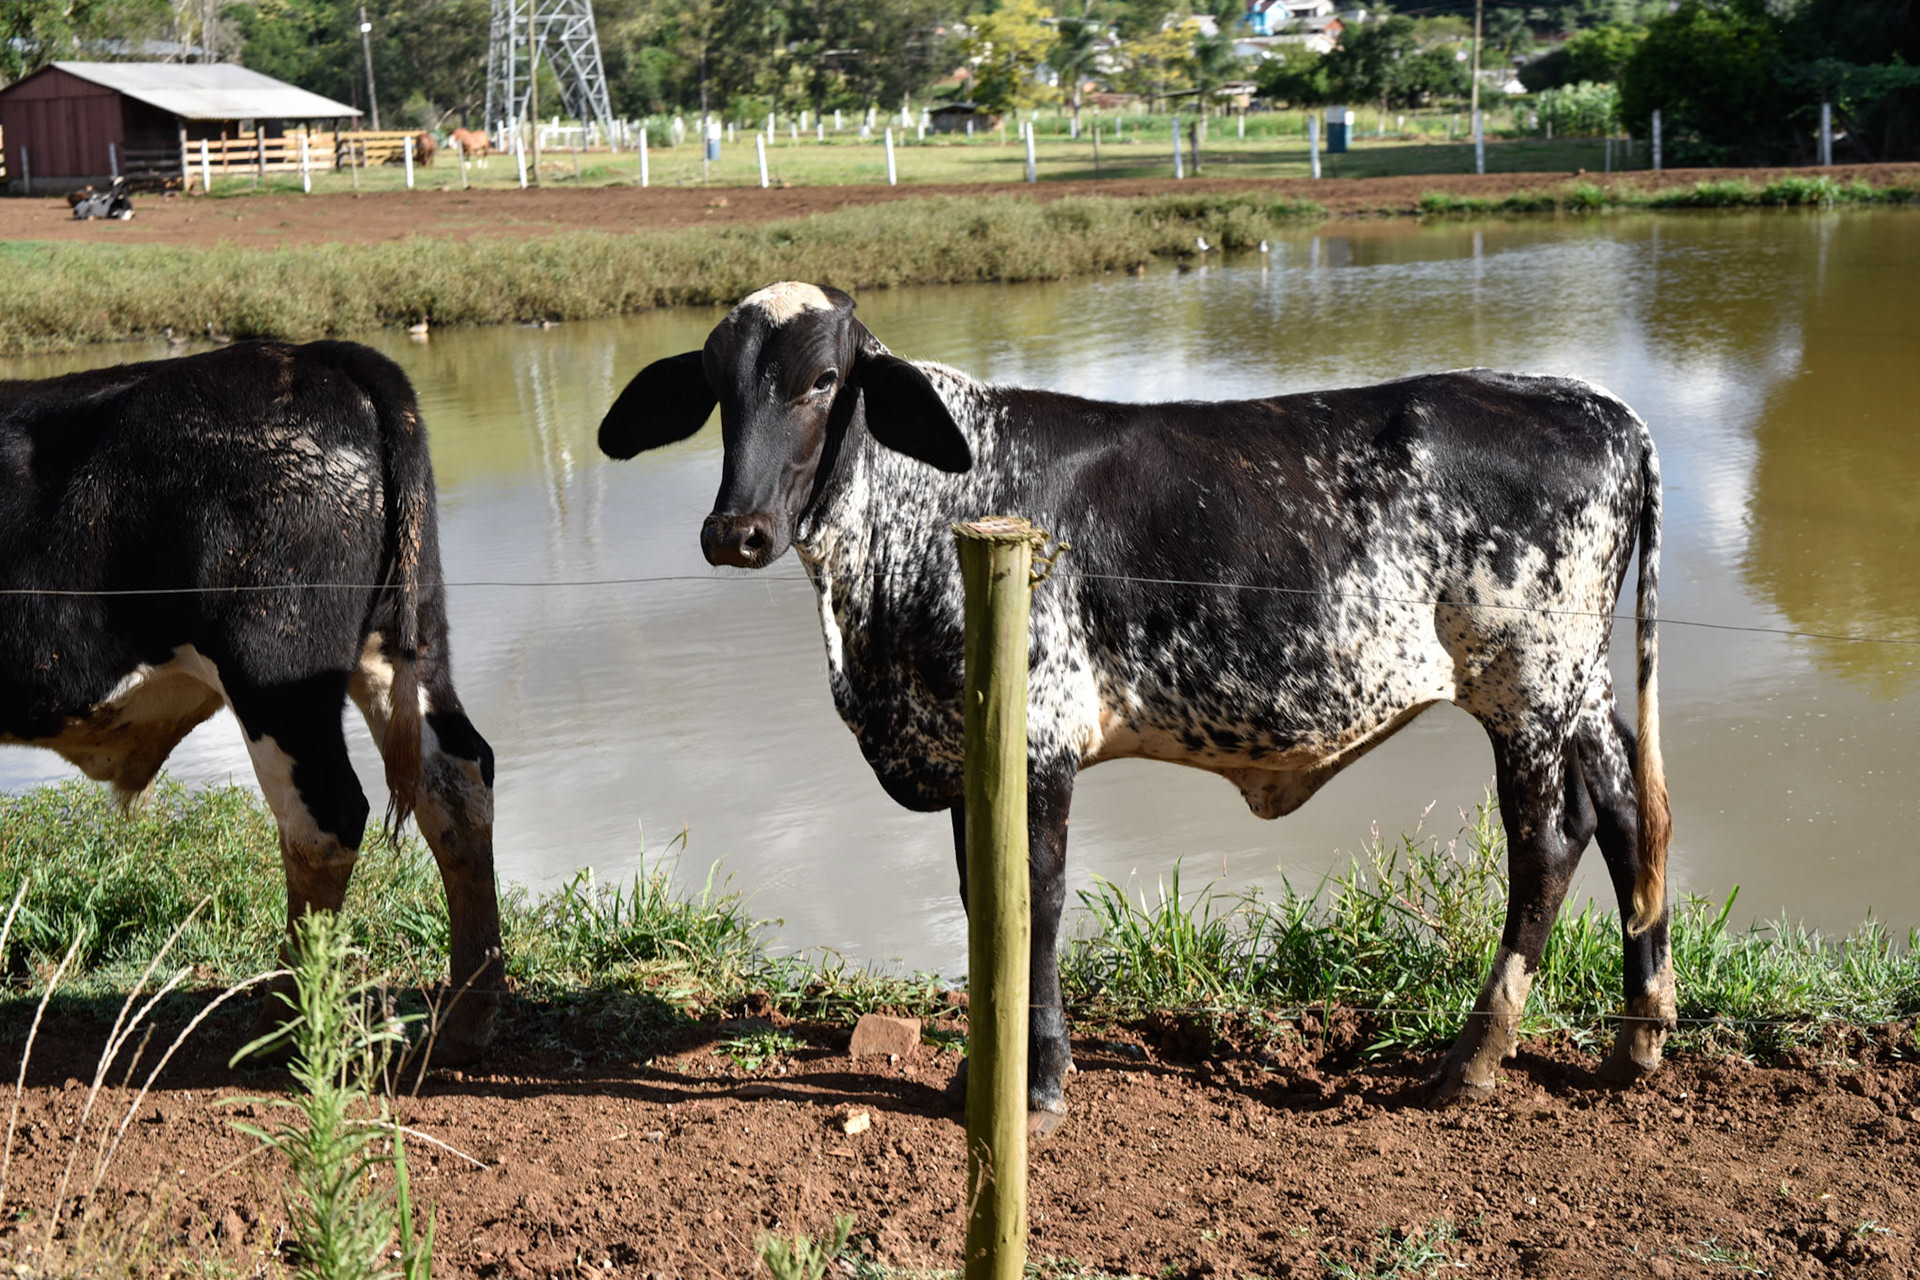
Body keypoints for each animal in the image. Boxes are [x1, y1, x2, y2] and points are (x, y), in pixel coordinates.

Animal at [1, 341, 503, 1063]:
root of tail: (312, 356)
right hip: (405, 643)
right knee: (457, 783)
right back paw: (464, 1022)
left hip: (275, 667)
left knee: (325, 820)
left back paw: (284, 1021)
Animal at [598, 281, 1675, 1131]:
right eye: (716, 386)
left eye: (824, 379)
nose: (736, 531)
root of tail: (1604, 408)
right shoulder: (967, 755)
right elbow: (980, 900)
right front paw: (981, 1075)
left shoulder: (1038, 740)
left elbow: (1032, 899)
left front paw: (1036, 1085)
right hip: (1582, 685)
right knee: (1630, 809)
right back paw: (1638, 1036)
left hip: (1525, 687)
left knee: (1550, 841)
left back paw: (1475, 1057)